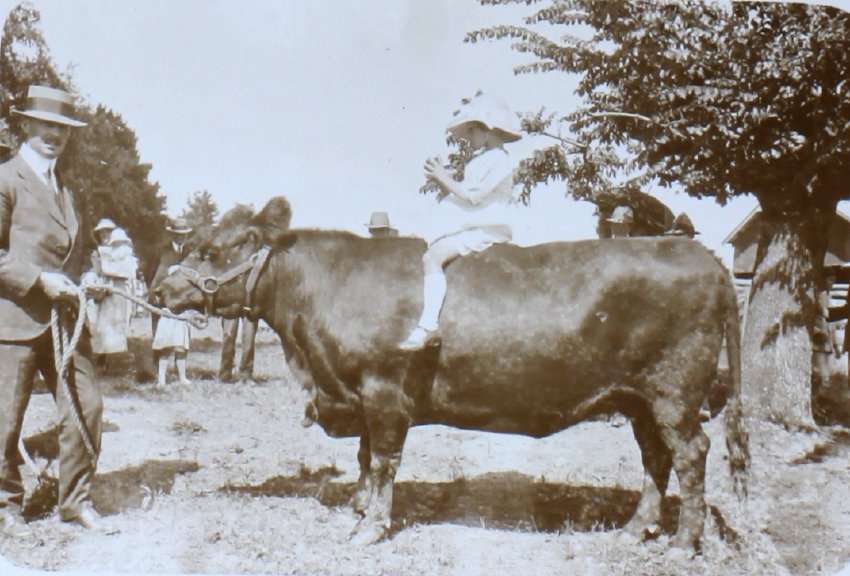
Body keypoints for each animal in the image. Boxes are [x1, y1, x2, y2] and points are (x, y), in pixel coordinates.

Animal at [154, 196, 748, 550]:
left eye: (209, 248)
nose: (159, 289)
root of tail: (707, 259)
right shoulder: (359, 395)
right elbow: (365, 457)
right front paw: (359, 508)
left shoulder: (382, 390)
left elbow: (384, 459)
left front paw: (371, 527)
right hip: (638, 398)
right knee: (656, 458)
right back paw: (633, 530)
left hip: (674, 391)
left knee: (690, 453)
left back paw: (683, 541)